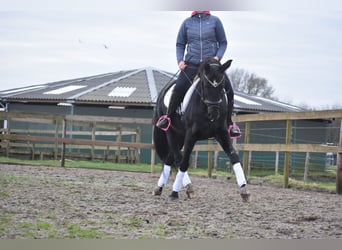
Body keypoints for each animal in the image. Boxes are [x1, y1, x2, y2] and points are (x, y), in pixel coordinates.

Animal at [152, 58, 248, 201]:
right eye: (206, 85)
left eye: (222, 87)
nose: (214, 114)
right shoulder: (191, 135)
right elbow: (184, 163)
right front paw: (175, 192)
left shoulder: (221, 133)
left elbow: (234, 157)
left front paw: (244, 190)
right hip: (171, 132)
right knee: (178, 158)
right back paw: (186, 187)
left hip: (180, 136)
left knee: (170, 158)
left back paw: (160, 188)